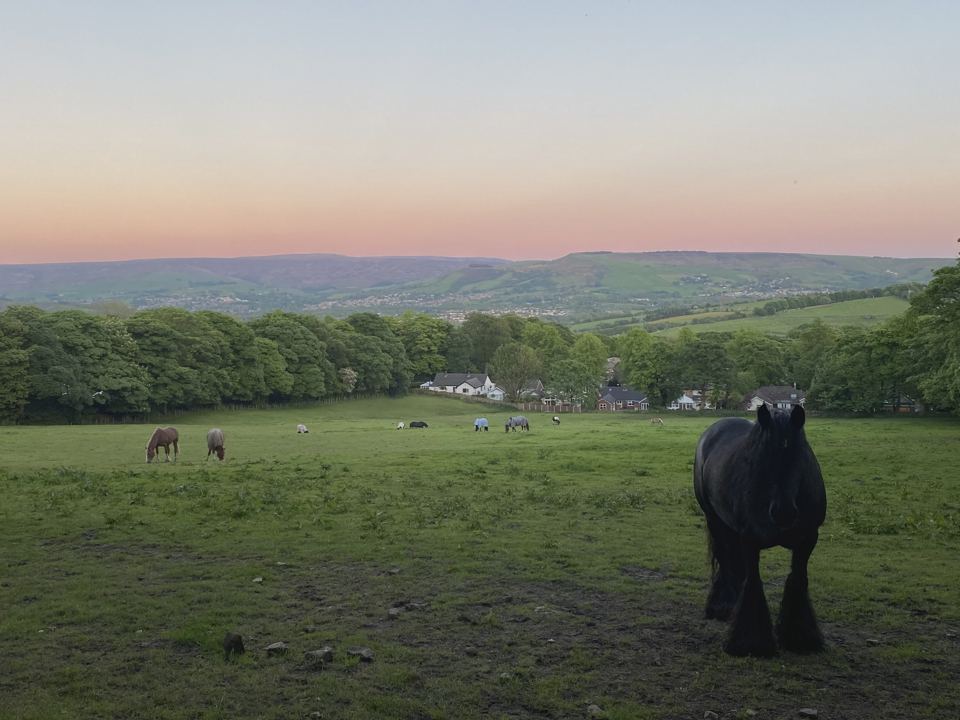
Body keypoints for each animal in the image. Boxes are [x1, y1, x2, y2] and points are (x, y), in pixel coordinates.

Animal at [693, 403, 826, 657]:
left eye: (800, 455)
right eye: (763, 456)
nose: (783, 512)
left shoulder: (808, 540)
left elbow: (797, 579)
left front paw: (801, 638)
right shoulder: (750, 540)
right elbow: (753, 582)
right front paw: (750, 643)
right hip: (715, 521)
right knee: (726, 561)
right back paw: (722, 606)